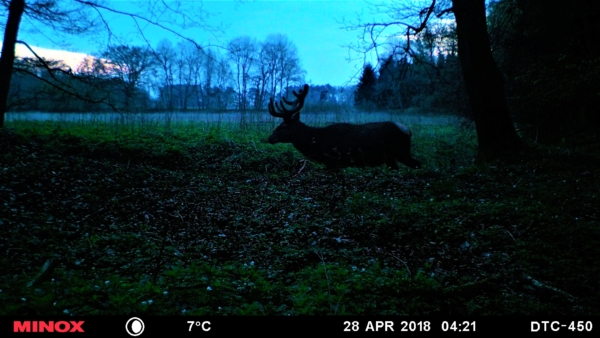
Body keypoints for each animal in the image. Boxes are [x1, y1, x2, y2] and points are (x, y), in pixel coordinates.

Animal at [268, 83, 422, 170]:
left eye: (284, 126)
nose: (270, 138)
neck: (317, 142)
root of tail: (408, 130)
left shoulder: (334, 161)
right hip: (391, 158)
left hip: (402, 152)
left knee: (418, 164)